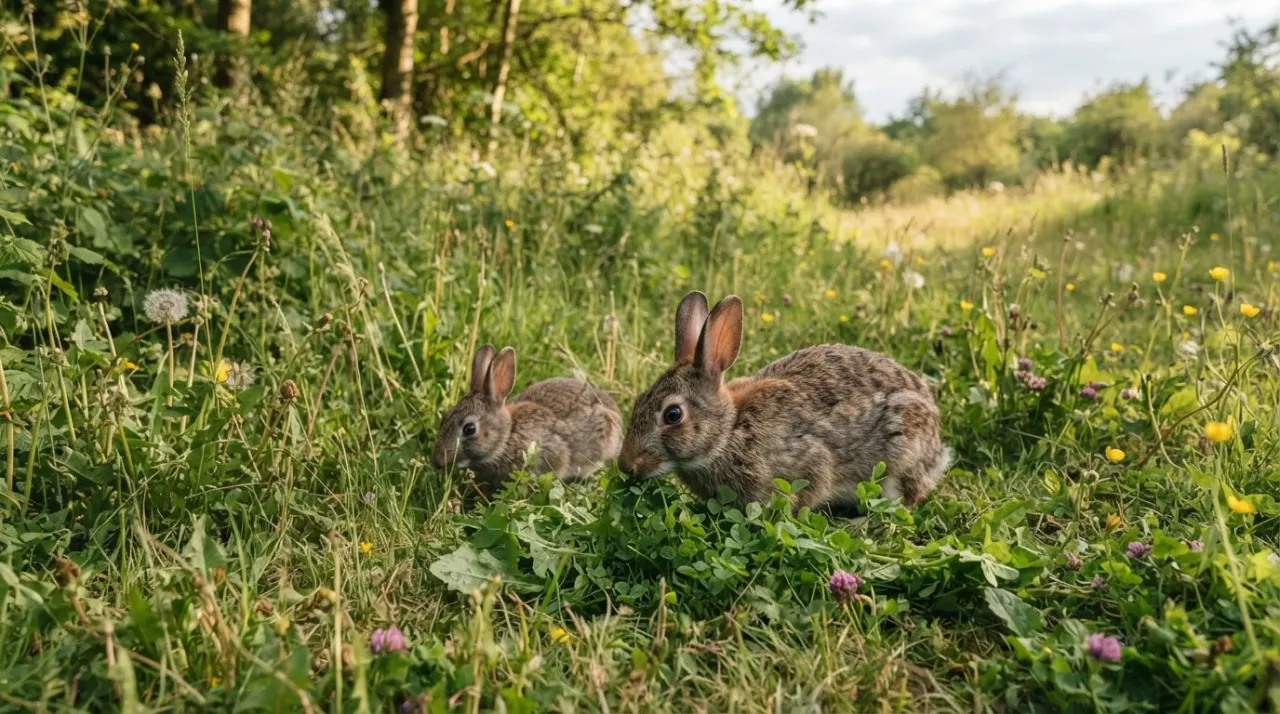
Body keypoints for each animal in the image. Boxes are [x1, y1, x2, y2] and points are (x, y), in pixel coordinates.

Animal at [618, 291, 950, 512]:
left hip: (900, 454)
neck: (729, 431)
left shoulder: (808, 463)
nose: (625, 465)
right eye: (639, 401)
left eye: (673, 414)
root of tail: (938, 451)